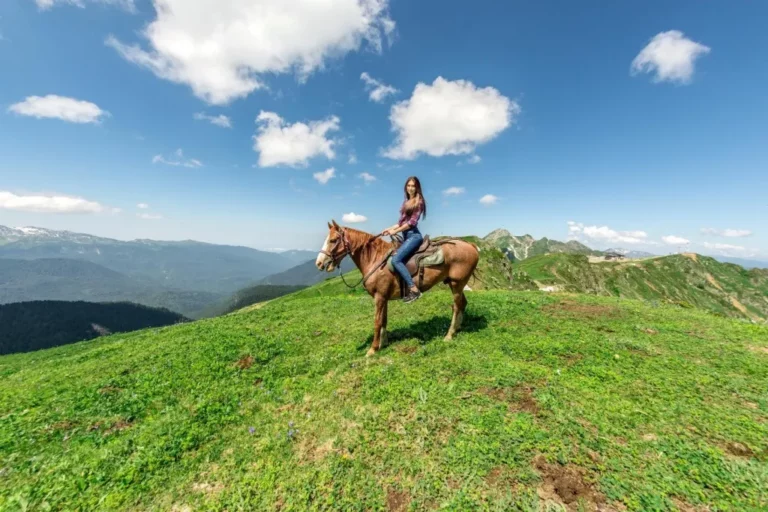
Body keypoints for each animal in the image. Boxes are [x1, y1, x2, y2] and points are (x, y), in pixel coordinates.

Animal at [316, 219, 476, 356]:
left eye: (333, 240)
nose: (319, 263)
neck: (375, 260)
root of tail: (471, 246)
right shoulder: (384, 297)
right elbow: (384, 320)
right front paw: (383, 343)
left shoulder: (379, 297)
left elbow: (377, 322)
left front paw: (372, 349)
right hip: (455, 284)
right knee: (462, 303)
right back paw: (457, 328)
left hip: (456, 284)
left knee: (456, 306)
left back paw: (449, 335)